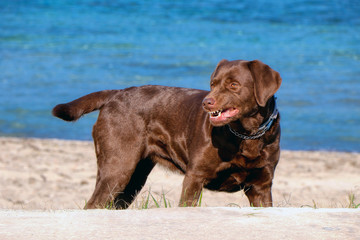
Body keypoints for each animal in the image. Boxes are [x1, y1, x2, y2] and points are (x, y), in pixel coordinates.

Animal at [52, 59, 282, 208]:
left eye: (234, 85)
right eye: (213, 84)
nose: (206, 102)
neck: (247, 135)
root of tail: (115, 94)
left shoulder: (261, 186)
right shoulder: (194, 177)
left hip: (134, 178)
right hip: (118, 168)